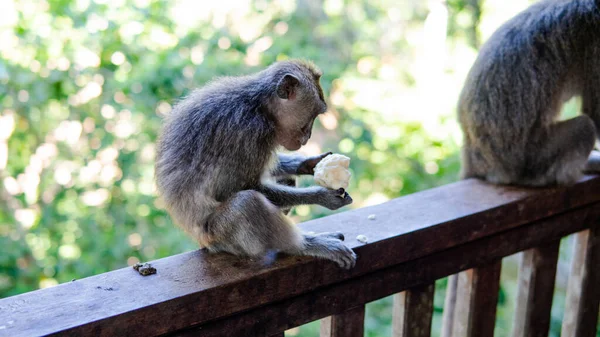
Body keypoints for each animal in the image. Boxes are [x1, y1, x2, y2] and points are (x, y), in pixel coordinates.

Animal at [155, 59, 358, 268]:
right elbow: (230, 190)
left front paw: (306, 163)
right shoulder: (249, 133)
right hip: (220, 236)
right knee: (247, 203)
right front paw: (322, 196)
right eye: (313, 114)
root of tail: (204, 243)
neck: (260, 107)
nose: (308, 136)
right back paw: (305, 245)